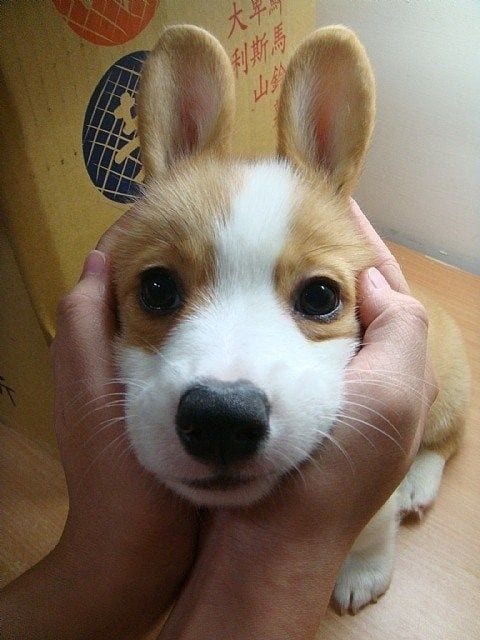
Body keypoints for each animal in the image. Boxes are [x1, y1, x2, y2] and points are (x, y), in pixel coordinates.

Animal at [109, 26, 468, 616]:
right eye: (156, 289)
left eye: (321, 296)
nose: (221, 419)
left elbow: (372, 530)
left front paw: (361, 572)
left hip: (449, 395)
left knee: (449, 439)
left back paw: (418, 481)